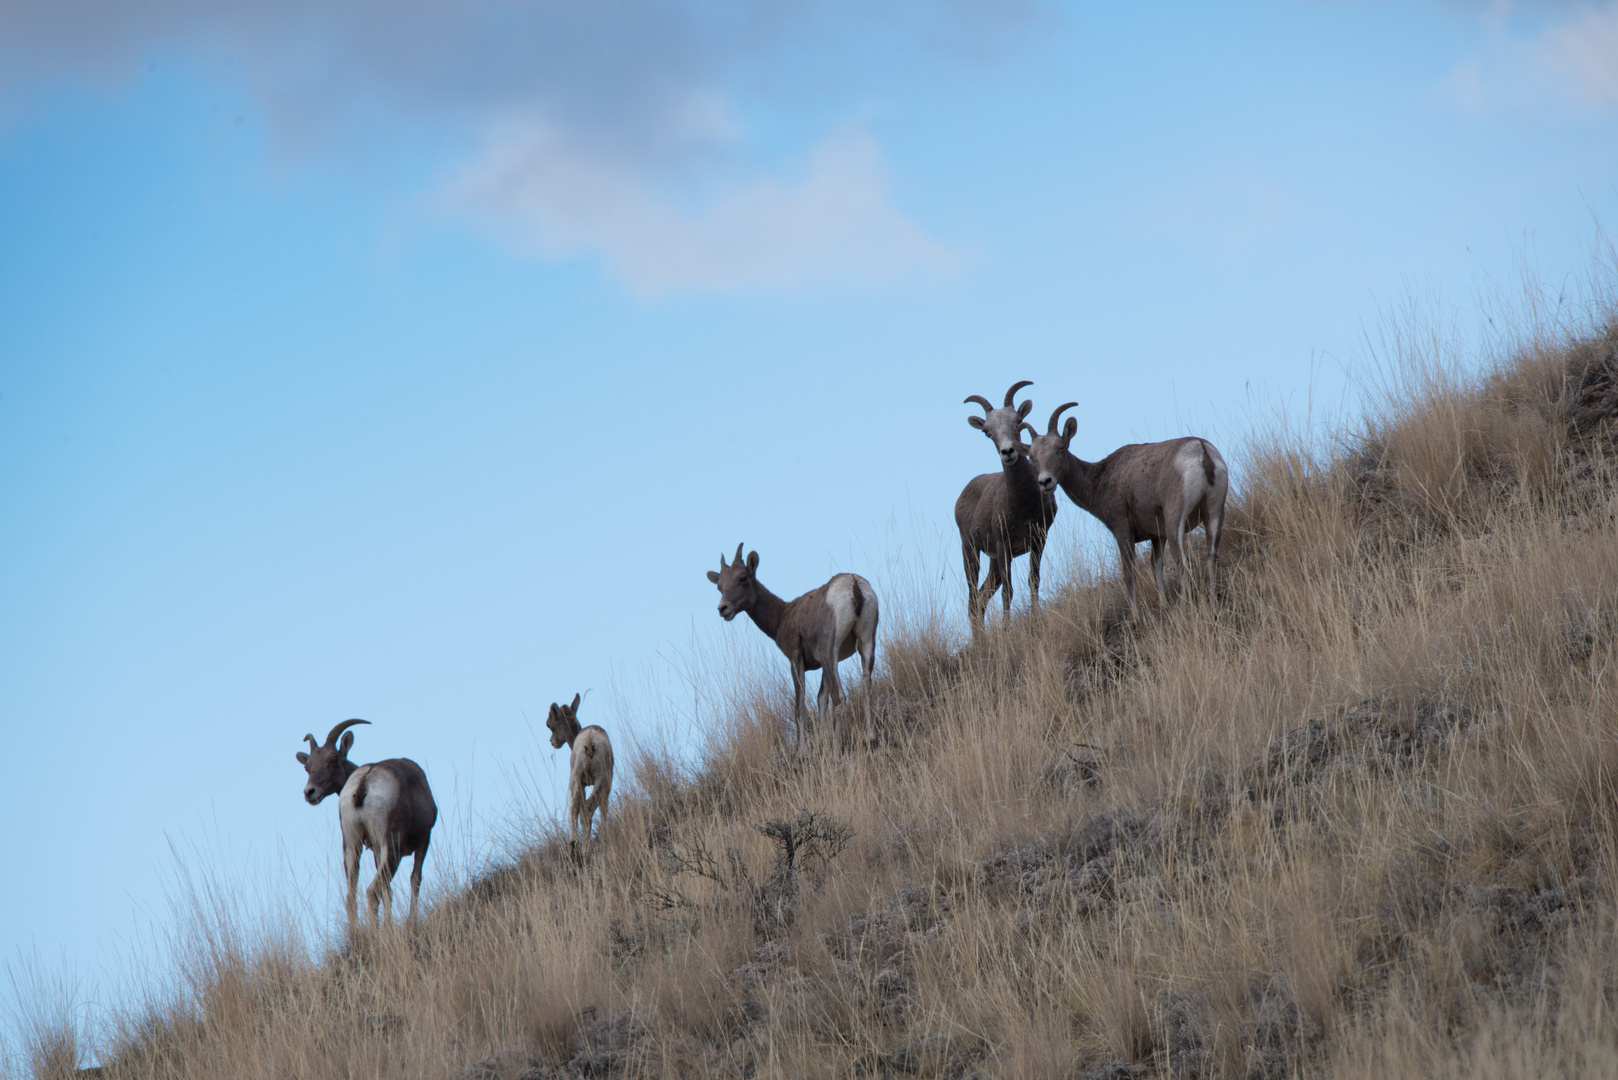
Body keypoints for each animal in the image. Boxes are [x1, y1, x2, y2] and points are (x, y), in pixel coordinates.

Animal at [294, 718, 436, 932]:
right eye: (307, 767)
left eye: (333, 759)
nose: (310, 792)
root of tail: (364, 782)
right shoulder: (423, 841)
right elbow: (415, 880)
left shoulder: (376, 851)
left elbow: (389, 893)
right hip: (392, 847)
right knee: (371, 892)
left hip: (352, 847)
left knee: (352, 898)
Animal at [546, 693, 614, 854]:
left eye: (549, 725)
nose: (552, 742)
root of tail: (589, 743)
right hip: (599, 781)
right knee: (586, 809)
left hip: (577, 781)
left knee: (577, 808)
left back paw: (575, 845)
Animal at [708, 540, 886, 751]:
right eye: (720, 586)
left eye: (742, 578)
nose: (723, 609)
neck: (782, 617)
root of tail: (853, 585)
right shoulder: (824, 665)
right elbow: (821, 698)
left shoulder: (795, 658)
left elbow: (799, 705)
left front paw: (802, 750)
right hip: (866, 643)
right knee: (866, 684)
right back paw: (871, 737)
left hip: (829, 649)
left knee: (839, 697)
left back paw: (836, 748)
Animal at [951, 380, 1067, 634]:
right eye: (987, 432)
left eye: (1017, 421)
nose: (1008, 452)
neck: (1023, 505)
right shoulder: (1003, 544)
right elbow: (1008, 590)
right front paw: (1006, 629)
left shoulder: (1038, 539)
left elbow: (1033, 580)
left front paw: (1035, 619)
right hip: (970, 551)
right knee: (973, 599)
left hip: (993, 562)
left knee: (980, 599)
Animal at [1029, 399, 1229, 621]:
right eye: (1032, 457)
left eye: (1060, 448)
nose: (1045, 481)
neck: (1098, 481)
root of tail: (1202, 453)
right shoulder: (1157, 535)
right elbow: (1156, 566)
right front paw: (1163, 604)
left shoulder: (1122, 529)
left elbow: (1128, 572)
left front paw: (1136, 617)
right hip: (1214, 514)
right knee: (1211, 556)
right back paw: (1213, 609)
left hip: (1174, 521)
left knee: (1182, 562)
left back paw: (1184, 610)